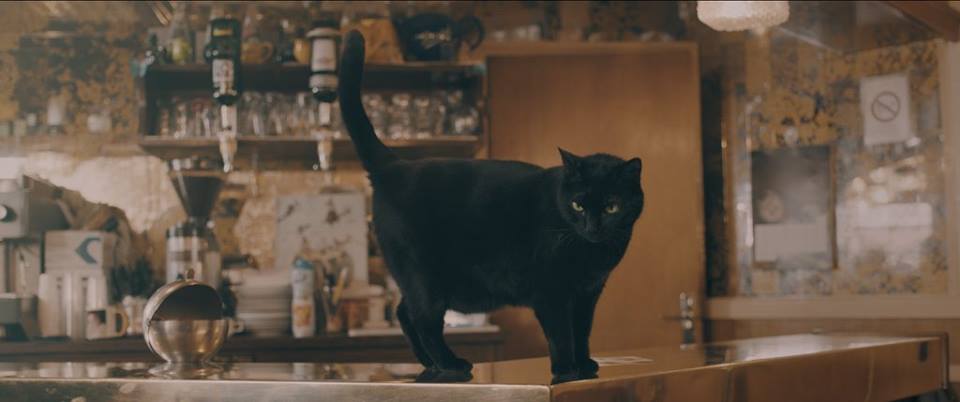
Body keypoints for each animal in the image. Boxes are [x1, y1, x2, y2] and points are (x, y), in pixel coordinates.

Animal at [338, 31, 645, 384]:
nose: (593, 226)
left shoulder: (588, 293)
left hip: (418, 278)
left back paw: (431, 364)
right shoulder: (551, 291)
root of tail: (395, 165)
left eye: (611, 207)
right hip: (424, 276)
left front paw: (583, 366)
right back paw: (452, 365)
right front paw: (566, 370)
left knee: (405, 313)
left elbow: (582, 331)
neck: (590, 250)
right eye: (578, 204)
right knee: (423, 319)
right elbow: (561, 334)